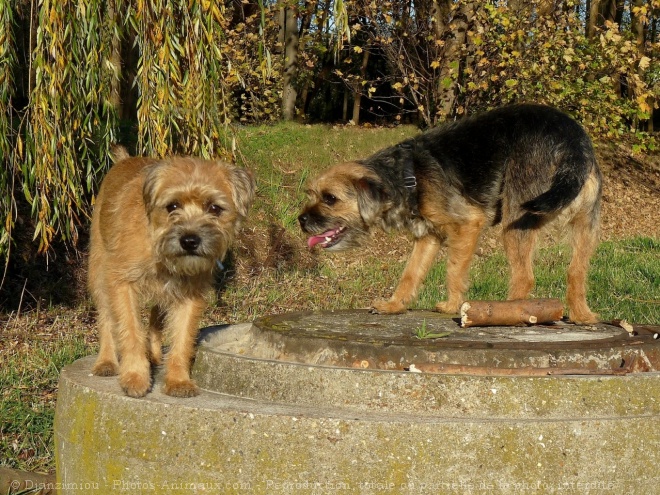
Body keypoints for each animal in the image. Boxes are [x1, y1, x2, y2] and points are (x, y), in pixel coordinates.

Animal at [91, 148, 256, 400]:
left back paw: (155, 354)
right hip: (99, 271)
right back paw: (106, 361)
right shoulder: (121, 283)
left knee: (155, 315)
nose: (189, 240)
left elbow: (183, 339)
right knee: (107, 319)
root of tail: (124, 160)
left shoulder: (190, 295)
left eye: (215, 208)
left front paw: (178, 380)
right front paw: (135, 376)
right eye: (172, 206)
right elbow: (130, 331)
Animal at [300, 102, 604, 324]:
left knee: (524, 277)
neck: (406, 176)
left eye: (330, 199)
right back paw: (582, 316)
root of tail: (573, 141)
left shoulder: (467, 224)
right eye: (311, 194)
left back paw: (507, 313)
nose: (301, 220)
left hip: (516, 222)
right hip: (586, 226)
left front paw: (452, 306)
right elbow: (410, 273)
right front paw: (394, 305)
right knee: (576, 272)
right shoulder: (428, 237)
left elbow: (454, 270)